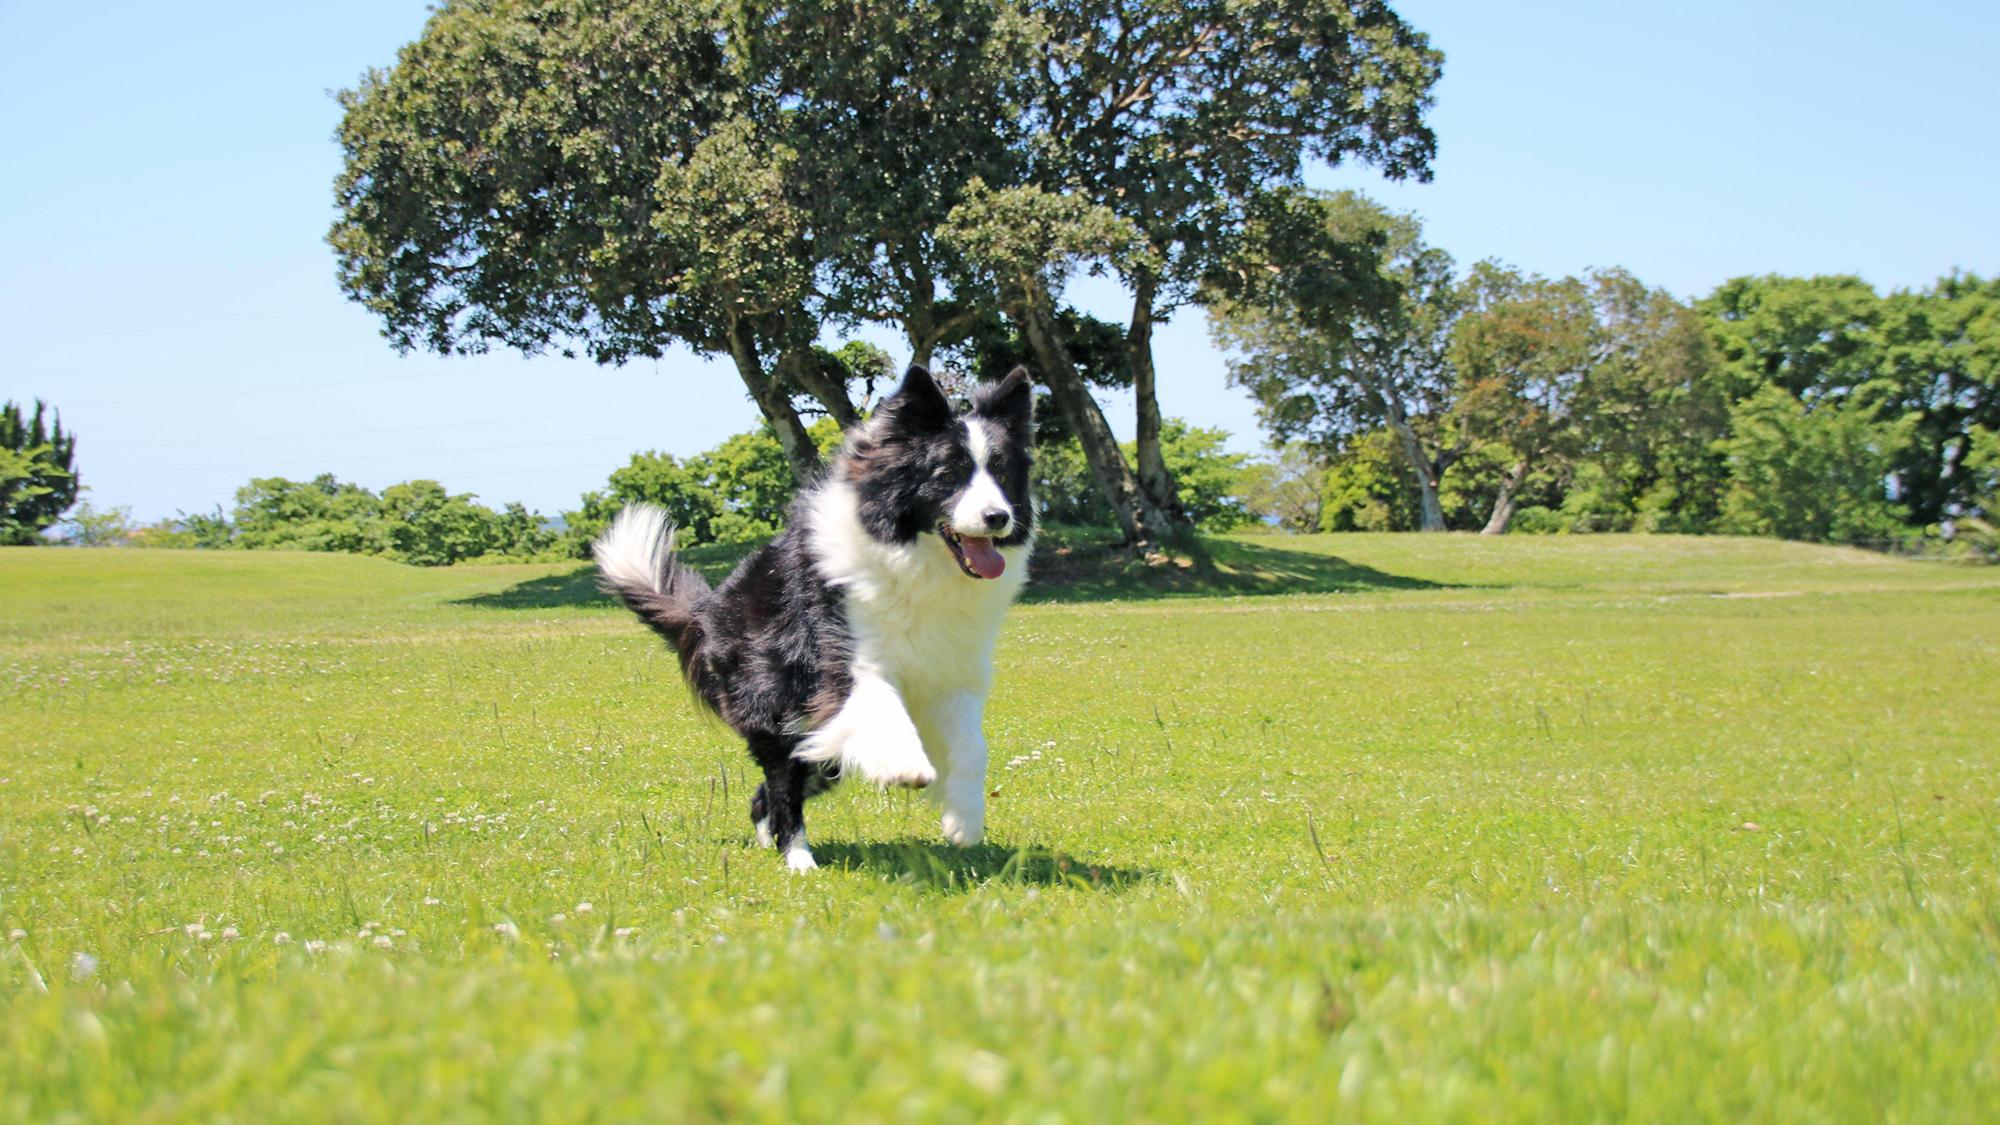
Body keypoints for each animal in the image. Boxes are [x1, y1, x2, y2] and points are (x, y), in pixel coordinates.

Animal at [588, 366, 1032, 868]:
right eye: (949, 475)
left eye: (1001, 473)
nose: (998, 517)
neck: (915, 562)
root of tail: (707, 610)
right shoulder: (841, 661)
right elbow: (881, 703)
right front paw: (904, 764)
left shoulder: (953, 671)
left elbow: (974, 748)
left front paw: (964, 820)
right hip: (780, 711)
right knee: (784, 786)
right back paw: (799, 859)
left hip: (817, 748)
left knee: (770, 793)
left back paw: (771, 840)